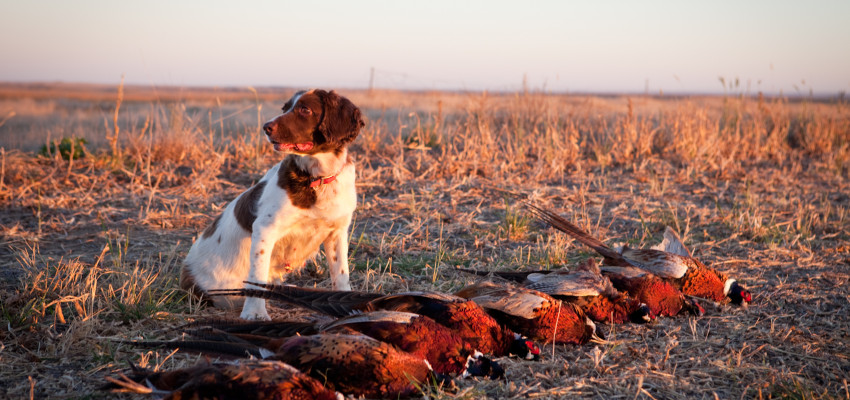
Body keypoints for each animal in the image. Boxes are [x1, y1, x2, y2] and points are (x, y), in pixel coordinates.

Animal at [181, 89, 362, 320]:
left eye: (305, 109)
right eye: (284, 108)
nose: (266, 127)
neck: (316, 178)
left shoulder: (336, 232)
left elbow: (341, 273)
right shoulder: (265, 228)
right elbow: (257, 275)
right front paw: (255, 313)